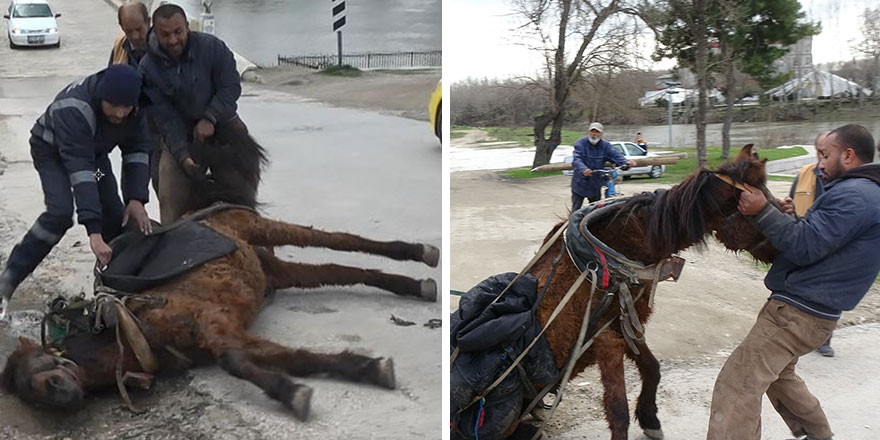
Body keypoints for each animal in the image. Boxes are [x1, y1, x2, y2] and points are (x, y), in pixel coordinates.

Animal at [0, 208, 440, 422]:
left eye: (43, 366)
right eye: (27, 392)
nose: (60, 394)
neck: (130, 329)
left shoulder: (212, 324)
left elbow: (234, 363)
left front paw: (293, 394)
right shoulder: (231, 334)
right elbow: (294, 358)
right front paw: (365, 368)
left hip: (262, 227)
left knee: (339, 240)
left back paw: (421, 253)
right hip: (278, 271)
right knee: (342, 270)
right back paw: (415, 285)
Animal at [512, 144, 780, 436]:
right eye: (762, 205)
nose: (785, 245)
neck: (613, 256)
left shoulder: (628, 324)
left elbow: (653, 369)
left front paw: (650, 418)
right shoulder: (605, 339)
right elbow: (618, 409)